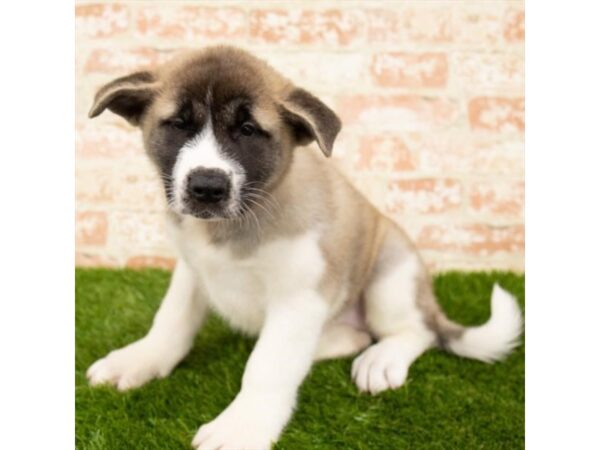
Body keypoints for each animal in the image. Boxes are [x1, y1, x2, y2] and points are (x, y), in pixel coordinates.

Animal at [84, 46, 520, 450]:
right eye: (177, 124)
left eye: (247, 130)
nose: (207, 186)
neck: (233, 225)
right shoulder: (192, 271)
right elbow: (170, 323)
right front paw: (139, 359)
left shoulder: (299, 297)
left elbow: (267, 366)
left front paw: (243, 425)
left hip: (391, 274)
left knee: (417, 330)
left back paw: (382, 357)